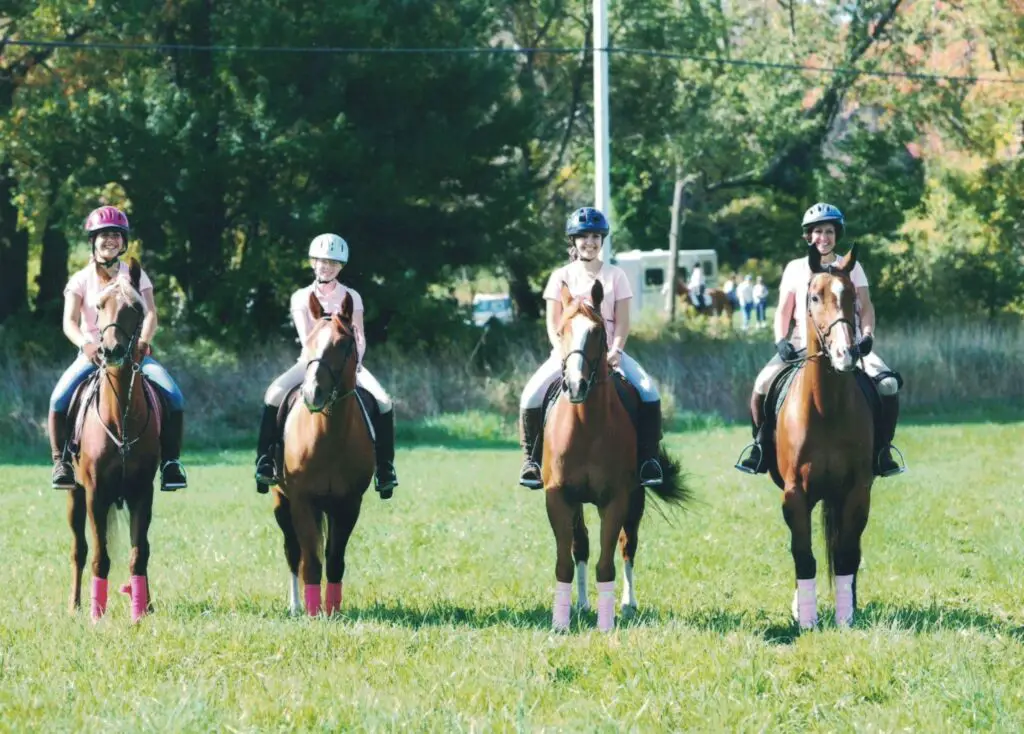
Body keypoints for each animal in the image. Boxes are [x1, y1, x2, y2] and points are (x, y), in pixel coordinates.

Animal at [68, 261, 159, 622]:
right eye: (98, 306)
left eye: (135, 308)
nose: (111, 350)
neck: (119, 417)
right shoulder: (95, 494)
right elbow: (98, 556)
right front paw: (97, 614)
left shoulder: (142, 492)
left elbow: (140, 552)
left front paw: (142, 611)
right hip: (75, 494)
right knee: (79, 549)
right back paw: (75, 605)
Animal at [270, 288, 374, 614]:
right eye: (310, 342)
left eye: (343, 344)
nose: (312, 393)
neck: (329, 438)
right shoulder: (301, 500)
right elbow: (311, 562)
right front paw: (314, 613)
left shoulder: (349, 504)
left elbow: (335, 559)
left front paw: (333, 611)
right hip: (281, 501)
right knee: (293, 552)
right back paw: (295, 606)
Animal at [540, 280, 692, 630]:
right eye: (562, 329)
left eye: (597, 331)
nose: (576, 385)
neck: (585, 427)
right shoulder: (558, 497)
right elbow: (565, 560)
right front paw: (560, 623)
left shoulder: (616, 499)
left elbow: (607, 562)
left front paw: (606, 623)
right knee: (581, 544)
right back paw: (582, 604)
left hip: (636, 498)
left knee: (627, 546)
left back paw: (627, 604)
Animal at [774, 244, 872, 630]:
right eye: (814, 296)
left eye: (851, 298)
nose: (847, 353)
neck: (826, 407)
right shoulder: (795, 493)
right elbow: (803, 555)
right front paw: (806, 620)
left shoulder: (857, 490)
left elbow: (846, 554)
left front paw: (846, 619)